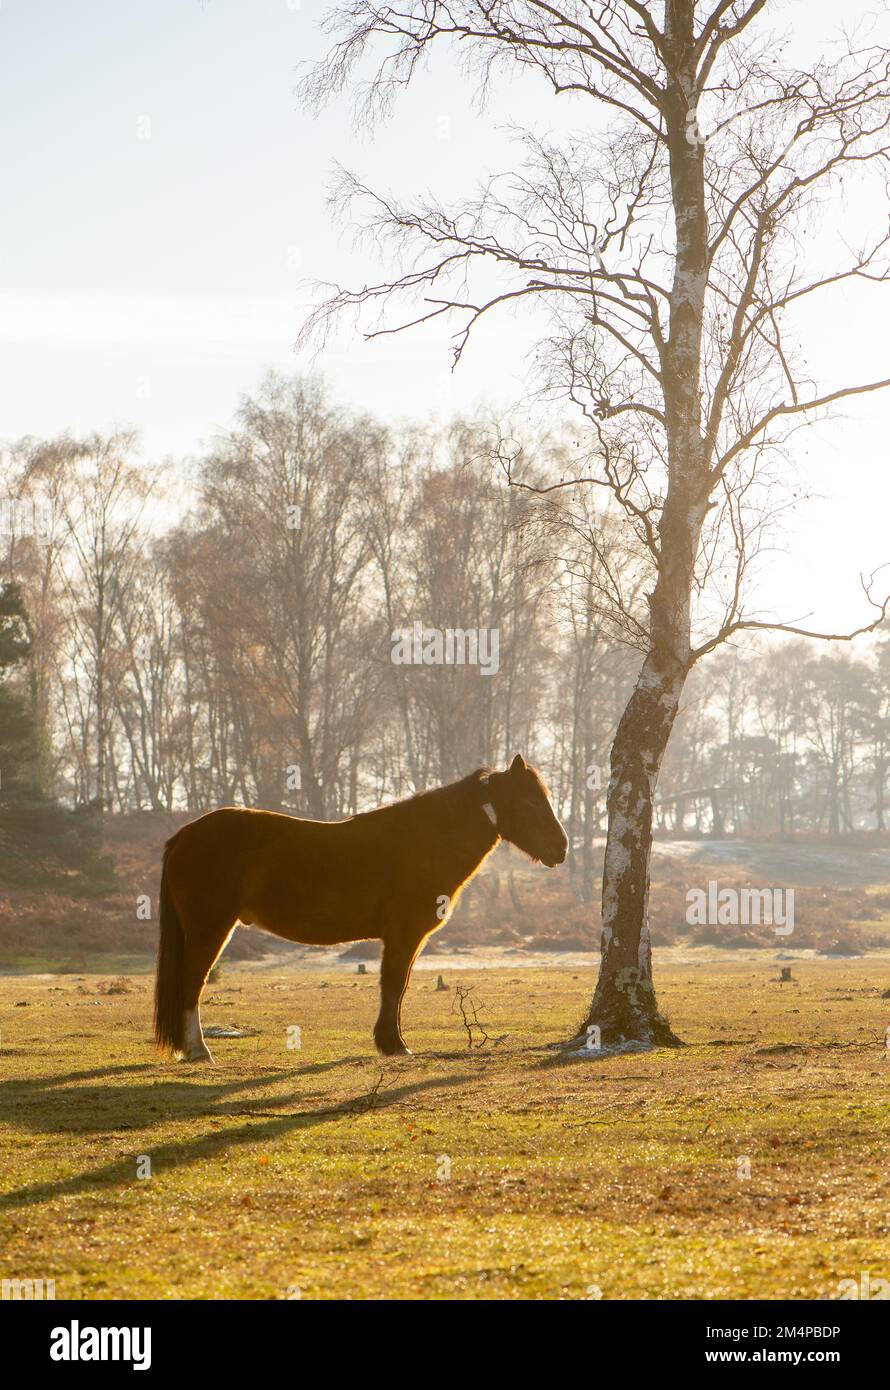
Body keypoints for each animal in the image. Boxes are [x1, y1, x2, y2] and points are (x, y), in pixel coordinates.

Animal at [153, 756, 567, 1056]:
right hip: (211, 929)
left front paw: (390, 1041)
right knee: (193, 982)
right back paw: (198, 1050)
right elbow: (394, 985)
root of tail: (184, 835)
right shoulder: (404, 935)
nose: (561, 848)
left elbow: (397, 986)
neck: (426, 840)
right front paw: (394, 1045)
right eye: (530, 801)